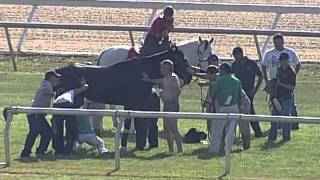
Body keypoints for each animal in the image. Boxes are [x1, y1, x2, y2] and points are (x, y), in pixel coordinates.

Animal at [54, 46, 192, 150]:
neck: (140, 73)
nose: (189, 77)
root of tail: (58, 72)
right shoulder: (131, 103)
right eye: (181, 59)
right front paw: (123, 146)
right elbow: (126, 126)